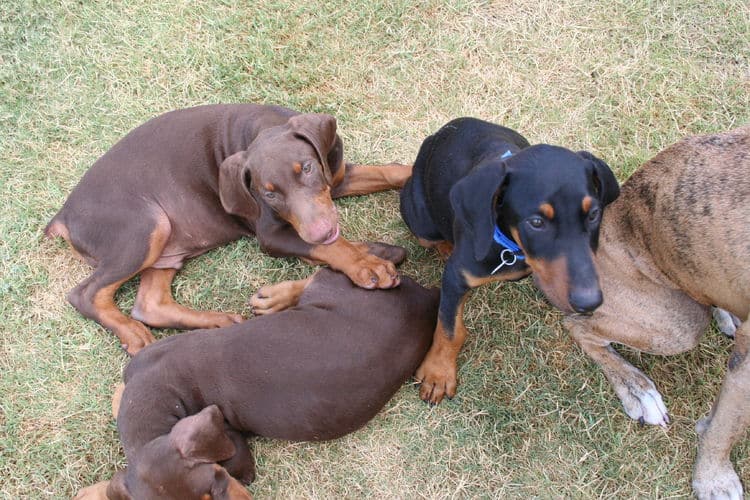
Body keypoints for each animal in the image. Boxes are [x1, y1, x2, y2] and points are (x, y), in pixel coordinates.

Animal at [45, 104, 412, 356]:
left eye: (307, 168)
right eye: (268, 193)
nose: (320, 231)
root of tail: (63, 215)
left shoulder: (336, 174)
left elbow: (391, 172)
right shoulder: (271, 234)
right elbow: (333, 247)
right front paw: (364, 265)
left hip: (166, 246)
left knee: (150, 303)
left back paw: (216, 321)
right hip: (144, 227)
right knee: (86, 294)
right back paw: (132, 333)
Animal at [72, 270, 440, 500]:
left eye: (219, 481)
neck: (159, 397)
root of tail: (427, 299)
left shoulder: (236, 457)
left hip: (334, 289)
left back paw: (279, 296)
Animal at [402, 118, 620, 406]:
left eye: (594, 213)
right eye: (536, 222)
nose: (590, 302)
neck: (512, 248)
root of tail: (440, 133)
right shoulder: (456, 276)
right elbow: (448, 328)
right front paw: (438, 373)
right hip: (421, 221)